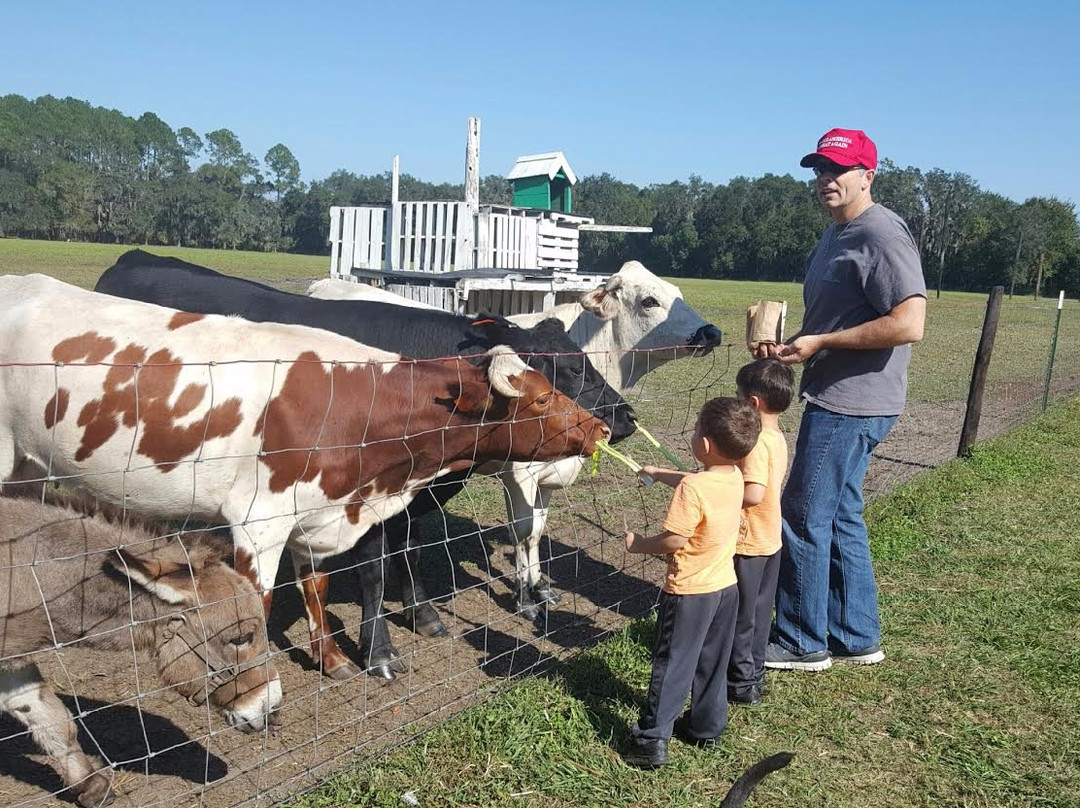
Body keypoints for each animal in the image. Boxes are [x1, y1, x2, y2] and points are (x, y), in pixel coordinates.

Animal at [0, 274, 609, 678]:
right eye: (541, 394)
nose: (605, 425)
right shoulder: (260, 523)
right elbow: (261, 602)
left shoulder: (317, 511)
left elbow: (316, 586)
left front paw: (332, 657)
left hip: (29, 469)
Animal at [308, 262, 721, 613]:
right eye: (650, 300)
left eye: (676, 292)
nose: (711, 332)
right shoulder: (520, 472)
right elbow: (523, 531)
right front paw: (525, 599)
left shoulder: (549, 474)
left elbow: (537, 530)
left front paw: (539, 586)